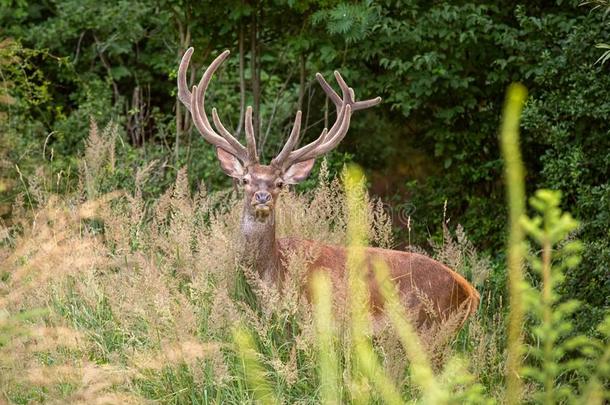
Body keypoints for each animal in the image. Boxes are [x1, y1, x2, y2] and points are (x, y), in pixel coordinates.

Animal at [178, 47, 478, 328]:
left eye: (279, 183)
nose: (262, 196)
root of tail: (470, 293)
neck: (273, 277)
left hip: (429, 325)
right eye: (245, 180)